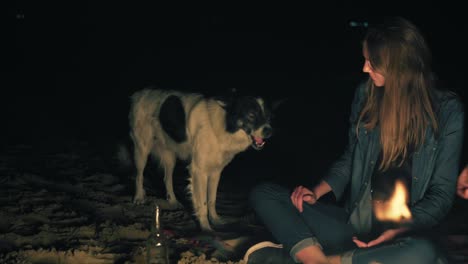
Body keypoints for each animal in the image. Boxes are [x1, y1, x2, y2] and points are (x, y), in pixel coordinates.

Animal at [129, 87, 274, 231]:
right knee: (139, 175)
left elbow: (212, 200)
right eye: (251, 114)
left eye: (268, 116)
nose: (269, 131)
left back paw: (173, 201)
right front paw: (206, 228)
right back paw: (138, 197)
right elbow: (203, 204)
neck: (219, 126)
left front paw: (215, 220)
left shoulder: (216, 172)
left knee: (167, 178)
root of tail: (140, 93)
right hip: (142, 150)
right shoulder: (199, 171)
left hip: (170, 156)